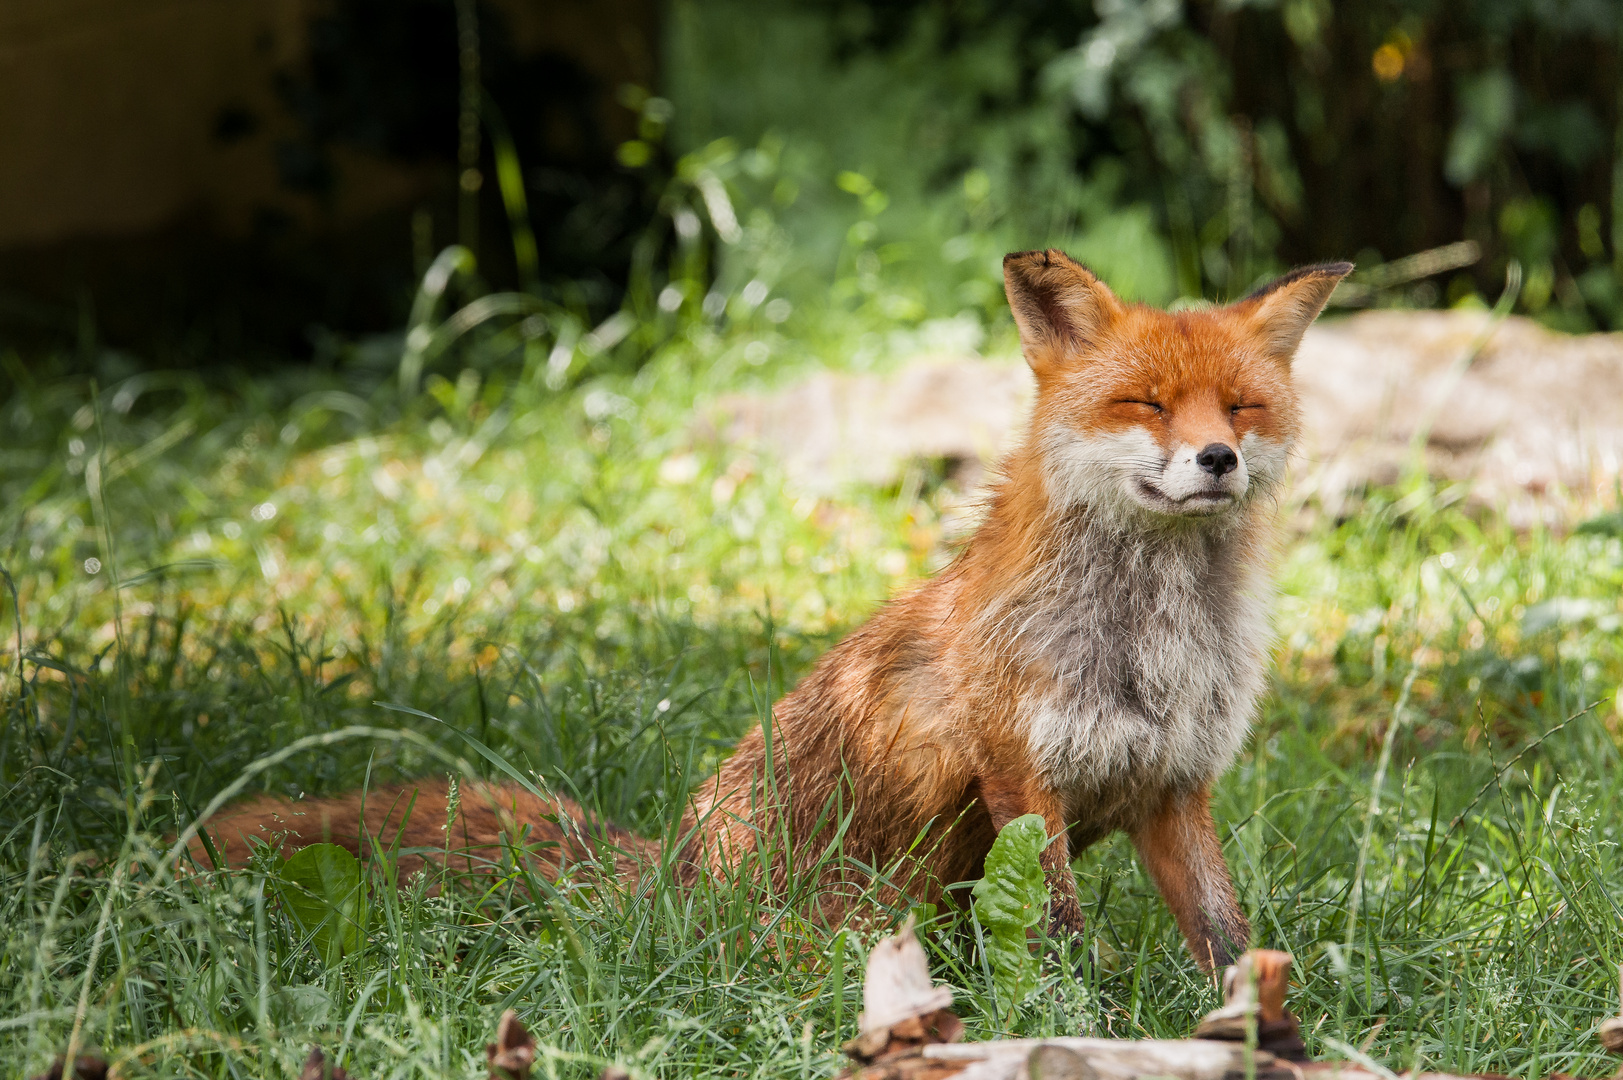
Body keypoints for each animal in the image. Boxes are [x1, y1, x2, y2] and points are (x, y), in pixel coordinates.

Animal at [189, 250, 1350, 967]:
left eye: (1242, 406)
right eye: (1145, 403)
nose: (1217, 458)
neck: (1152, 641)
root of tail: (668, 881)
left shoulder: (1173, 786)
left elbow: (1232, 940)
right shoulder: (1024, 781)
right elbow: (1058, 939)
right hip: (843, 918)